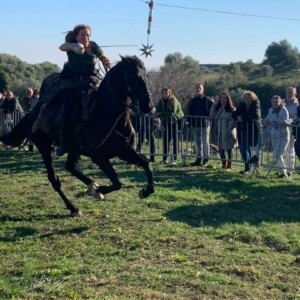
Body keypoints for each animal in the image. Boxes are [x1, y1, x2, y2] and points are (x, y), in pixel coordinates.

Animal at [0, 55, 155, 217]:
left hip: (73, 149)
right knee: (55, 179)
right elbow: (117, 182)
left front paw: (145, 191)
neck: (106, 112)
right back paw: (74, 207)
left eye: (146, 76)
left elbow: (147, 165)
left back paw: (91, 185)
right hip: (45, 147)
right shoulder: (99, 157)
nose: (149, 106)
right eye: (135, 76)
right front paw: (100, 190)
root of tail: (33, 113)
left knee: (70, 167)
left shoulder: (124, 151)